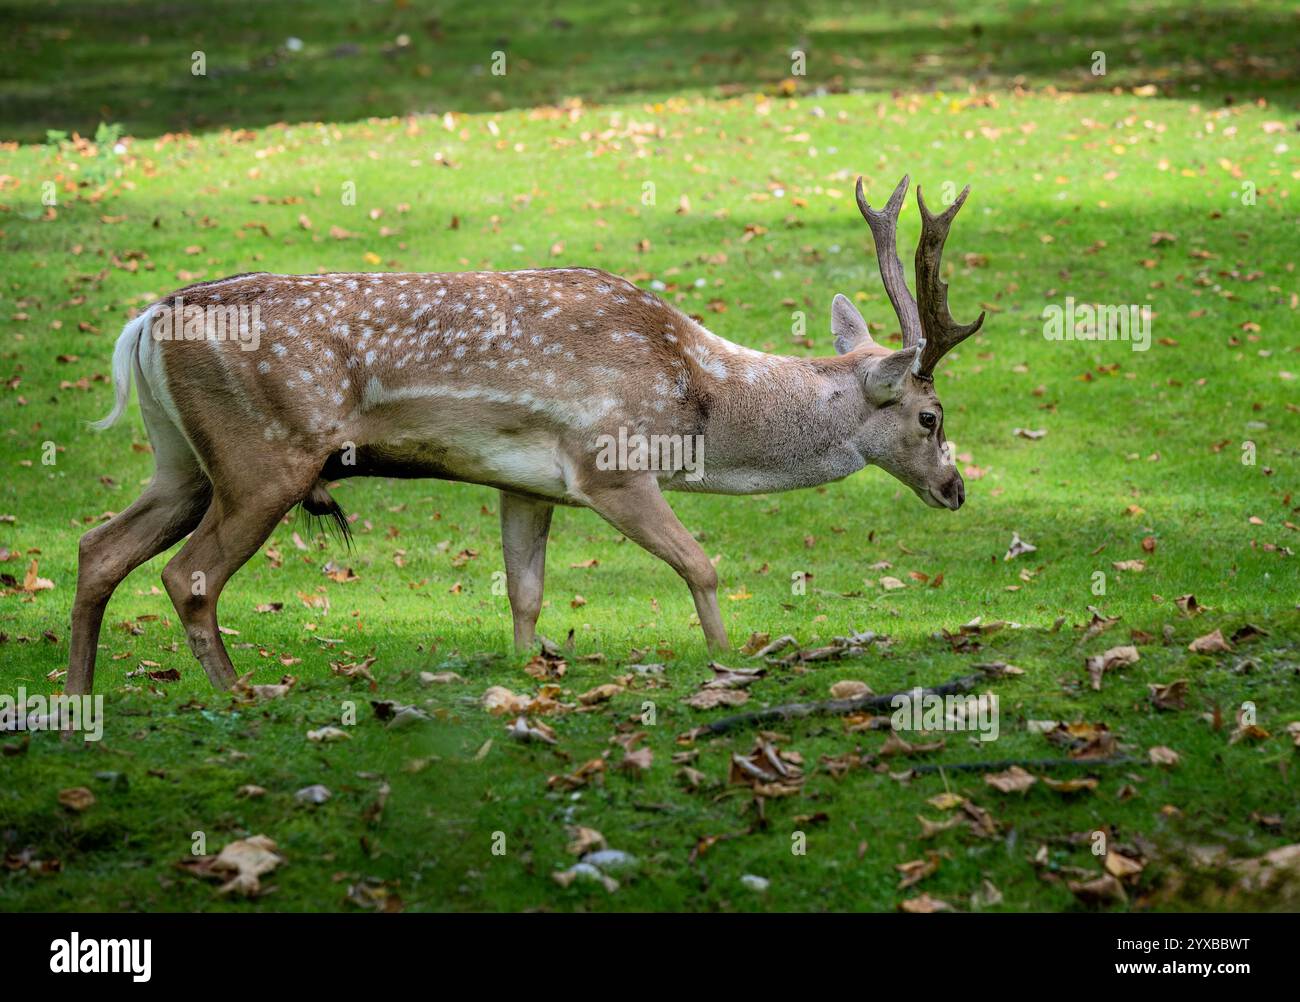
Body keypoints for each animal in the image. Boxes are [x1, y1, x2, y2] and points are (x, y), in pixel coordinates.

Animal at [67, 175, 985, 695]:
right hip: (266, 455)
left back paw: (76, 697)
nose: (956, 488)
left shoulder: (523, 483)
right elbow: (701, 564)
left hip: (182, 460)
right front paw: (728, 661)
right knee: (187, 575)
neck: (699, 403)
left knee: (98, 547)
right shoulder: (610, 463)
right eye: (931, 416)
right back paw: (238, 692)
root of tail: (147, 321)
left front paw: (524, 670)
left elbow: (524, 591)